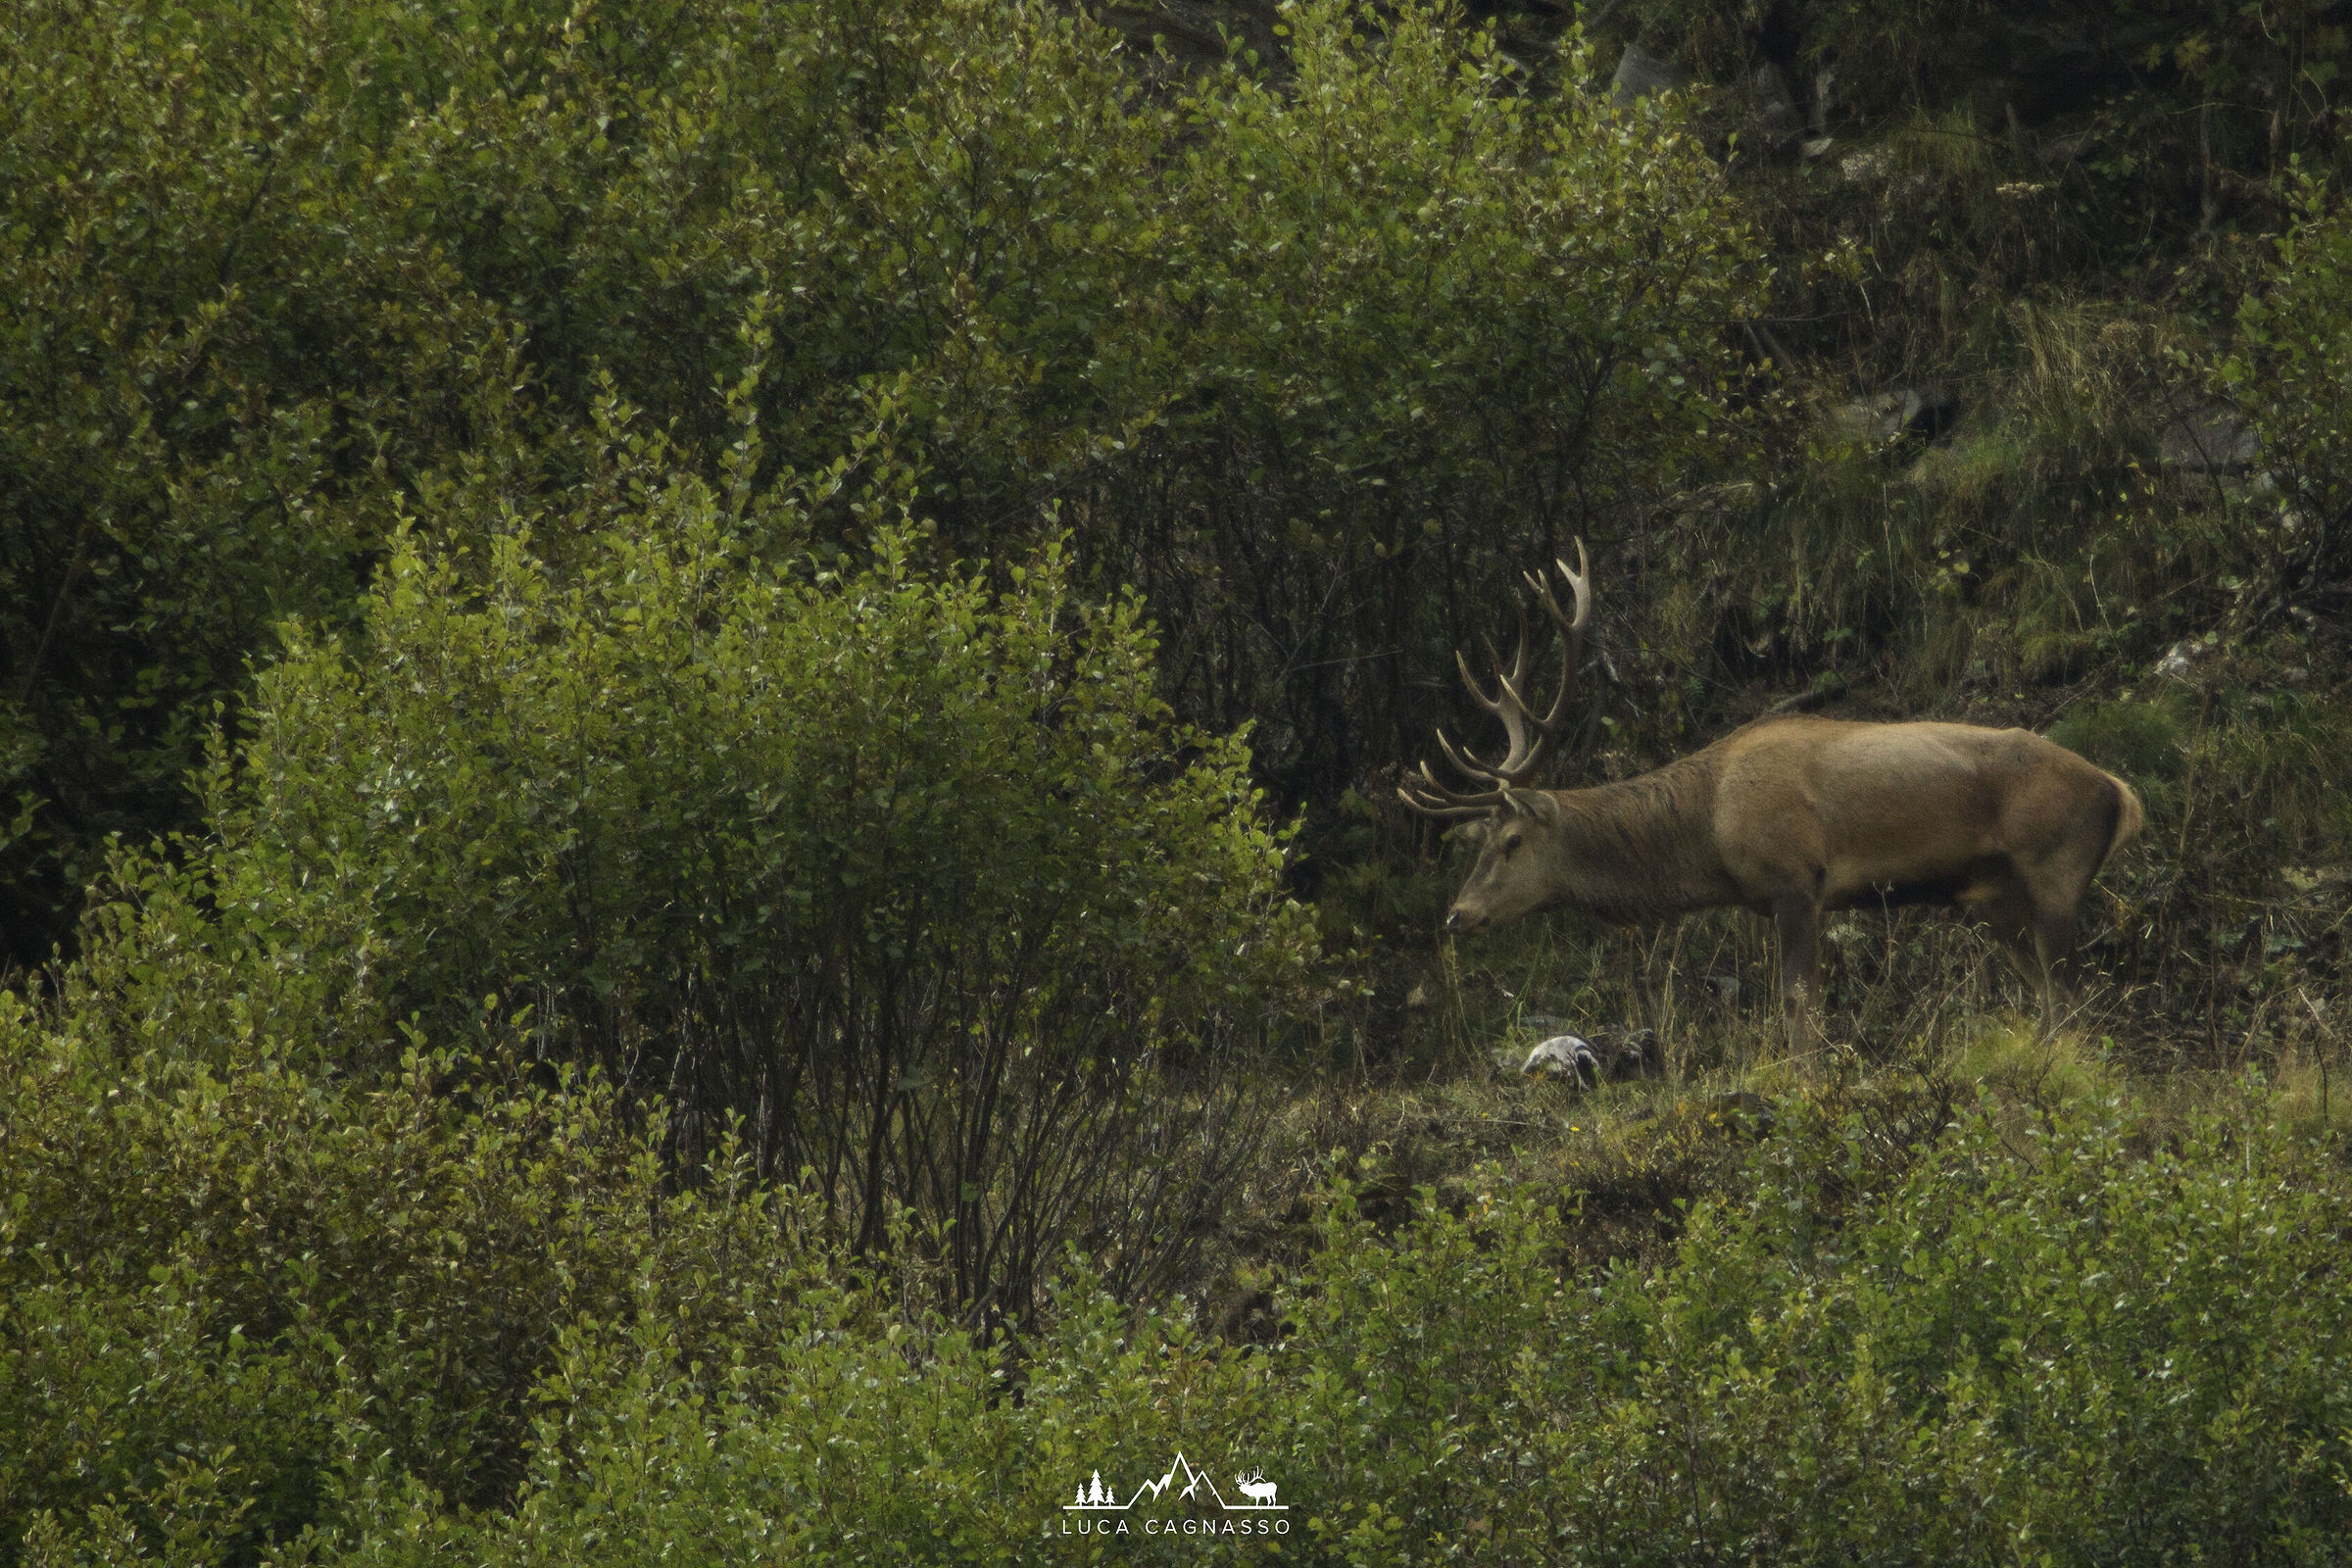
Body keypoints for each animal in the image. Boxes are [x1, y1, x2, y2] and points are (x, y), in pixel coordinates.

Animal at [1398, 543, 2144, 1049]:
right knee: (2051, 1000)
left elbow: (1796, 1006)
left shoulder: (1796, 878)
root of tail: (2120, 792)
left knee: (2074, 996)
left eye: (1510, 841)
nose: (1458, 915)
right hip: (1994, 899)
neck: (1710, 833)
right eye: (1480, 842)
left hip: (2053, 870)